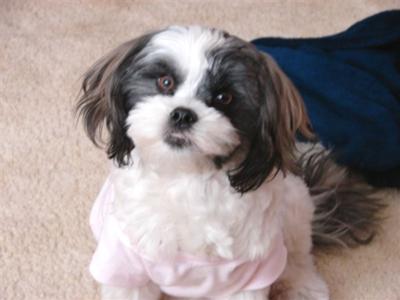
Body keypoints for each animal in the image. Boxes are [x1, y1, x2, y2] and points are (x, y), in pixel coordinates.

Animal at [76, 25, 382, 300]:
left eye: (224, 97)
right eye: (165, 82)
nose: (182, 114)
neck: (188, 179)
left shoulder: (249, 274)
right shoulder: (127, 266)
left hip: (294, 208)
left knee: (297, 258)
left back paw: (303, 288)